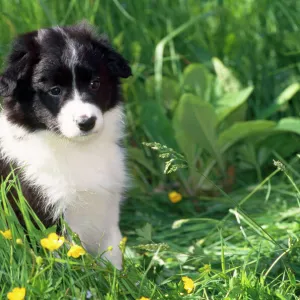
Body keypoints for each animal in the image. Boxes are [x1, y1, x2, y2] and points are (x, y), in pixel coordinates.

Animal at [0, 21, 132, 270]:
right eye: (55, 91)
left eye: (95, 84)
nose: (87, 122)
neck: (76, 148)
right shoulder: (47, 214)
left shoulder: (106, 209)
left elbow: (113, 258)